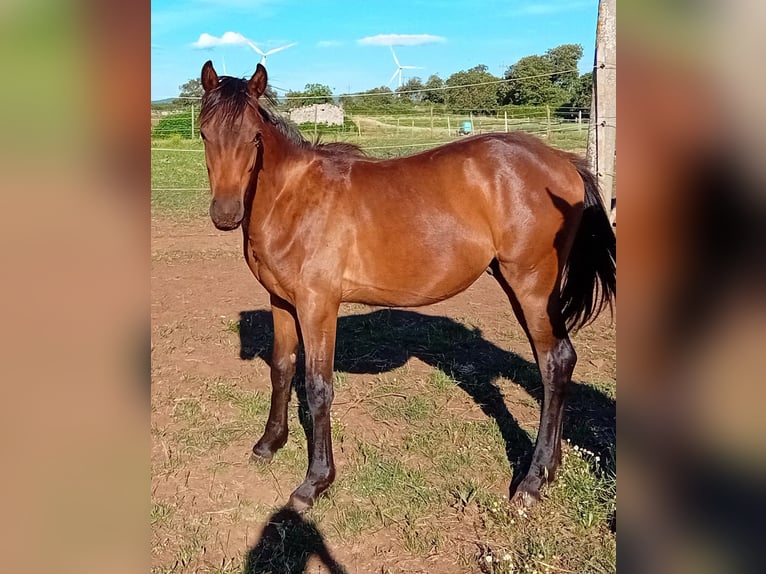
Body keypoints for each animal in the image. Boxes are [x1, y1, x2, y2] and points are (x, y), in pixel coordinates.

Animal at [200, 62, 616, 512]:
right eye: (204, 132)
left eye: (254, 137)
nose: (225, 214)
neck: (292, 197)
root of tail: (563, 161)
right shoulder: (281, 301)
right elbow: (281, 369)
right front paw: (269, 443)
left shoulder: (318, 307)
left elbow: (317, 388)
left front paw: (314, 483)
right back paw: (549, 469)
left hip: (532, 286)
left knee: (555, 363)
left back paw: (532, 481)